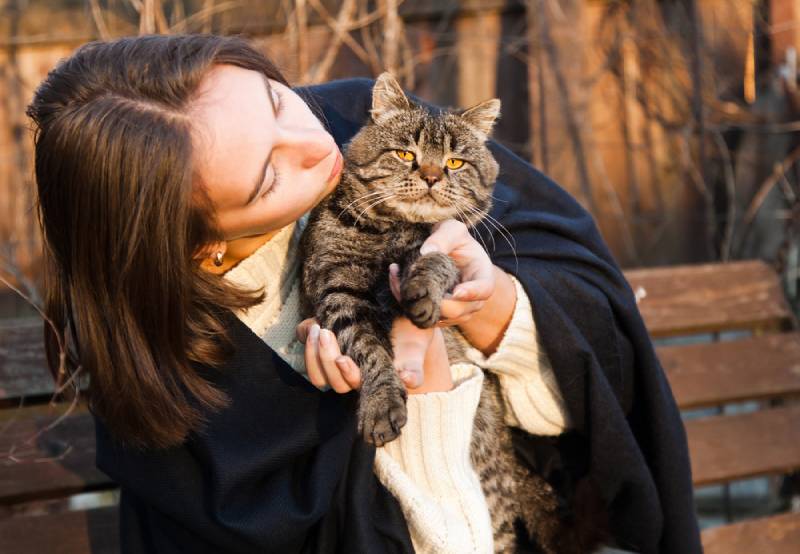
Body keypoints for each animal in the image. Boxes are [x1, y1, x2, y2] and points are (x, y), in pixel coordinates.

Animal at [300, 74, 592, 552]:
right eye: (406, 154)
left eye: (455, 162)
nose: (433, 176)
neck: (393, 230)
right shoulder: (336, 287)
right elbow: (369, 350)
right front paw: (381, 404)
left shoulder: (451, 249)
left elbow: (434, 261)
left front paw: (420, 288)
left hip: (490, 477)